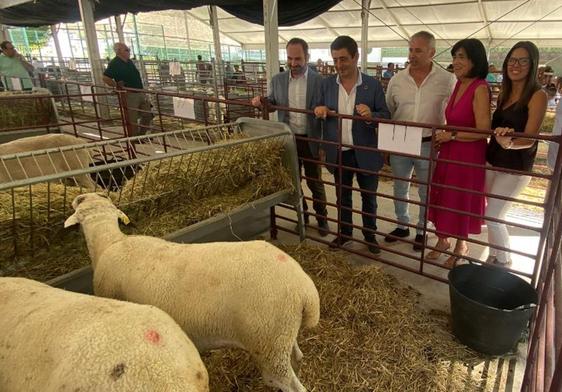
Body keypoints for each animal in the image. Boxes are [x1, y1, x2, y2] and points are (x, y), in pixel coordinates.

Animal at [65, 193, 320, 392]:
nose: (78, 197)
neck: (109, 243)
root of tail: (305, 290)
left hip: (266, 340)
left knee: (287, 382)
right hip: (281, 333)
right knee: (296, 357)